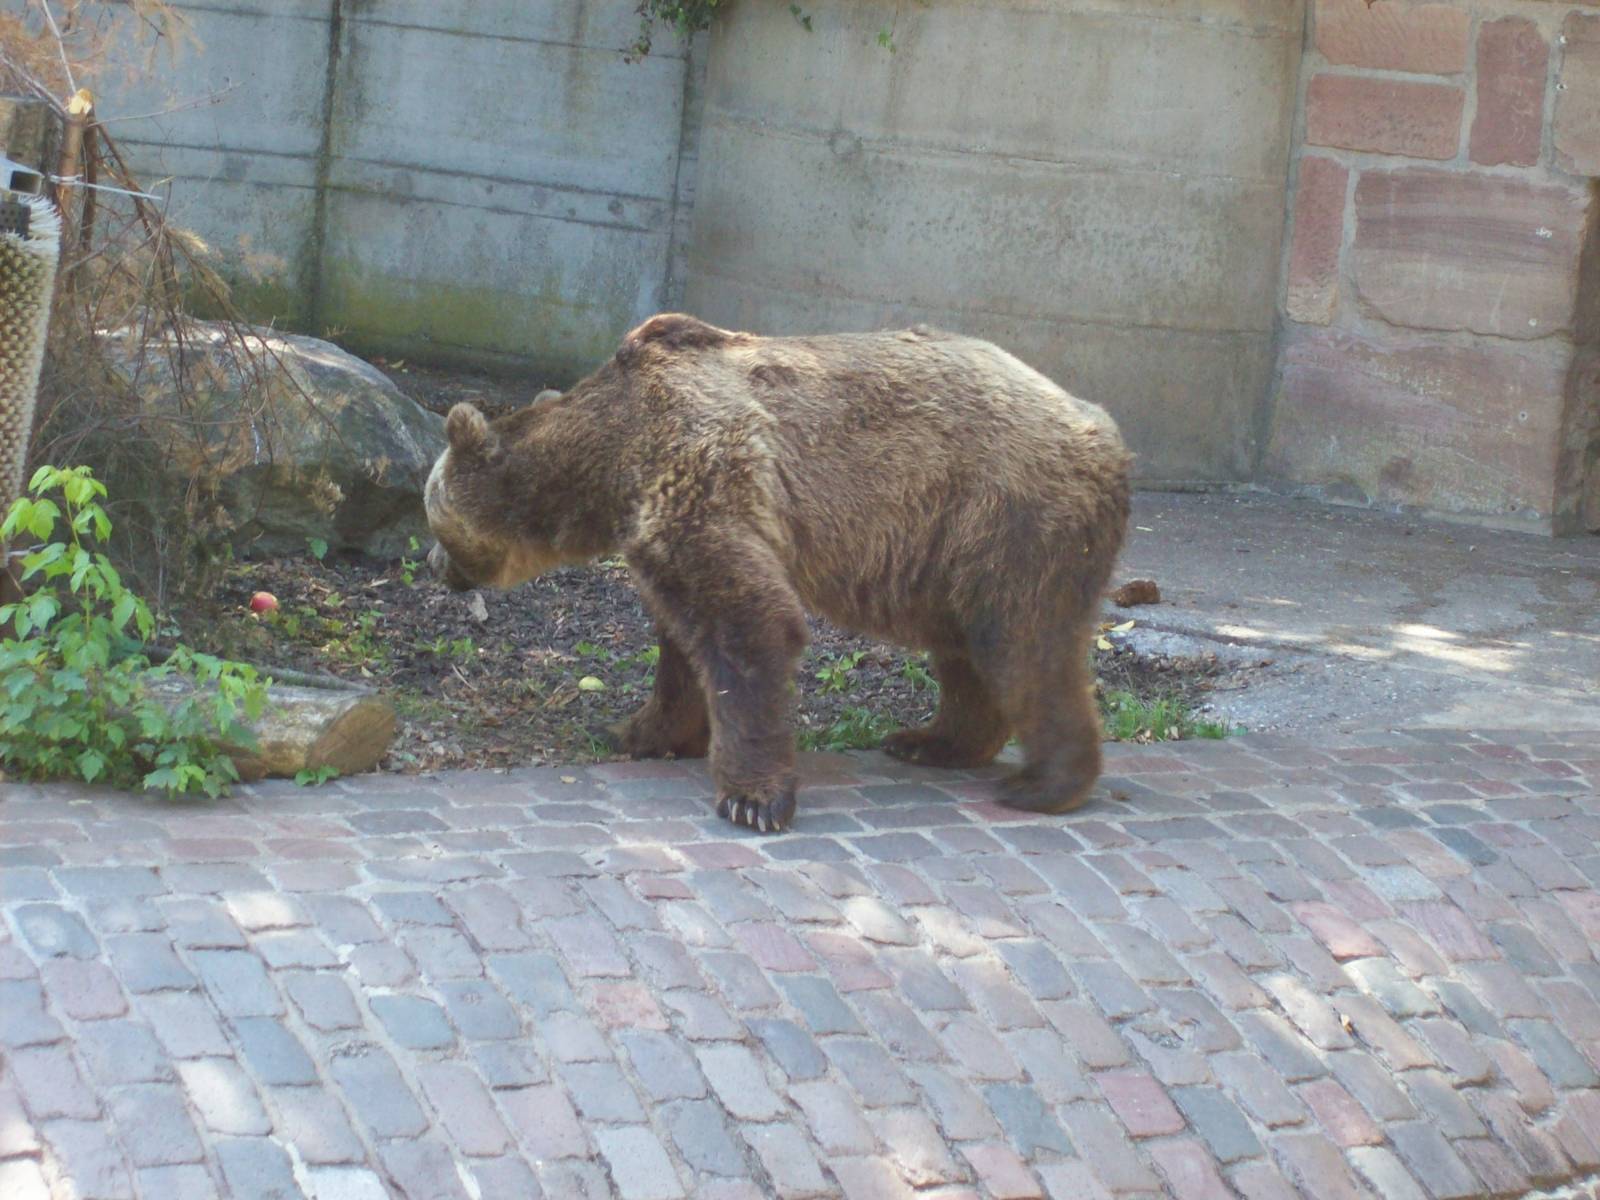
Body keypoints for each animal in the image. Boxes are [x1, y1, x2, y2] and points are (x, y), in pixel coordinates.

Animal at [425, 313, 1131, 833]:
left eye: (430, 514)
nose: (434, 566)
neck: (610, 461)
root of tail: (1103, 427)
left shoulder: (700, 471)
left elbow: (748, 625)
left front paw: (752, 798)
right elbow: (682, 647)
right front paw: (638, 730)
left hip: (1009, 514)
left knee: (1023, 642)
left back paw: (1043, 783)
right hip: (948, 550)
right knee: (965, 650)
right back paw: (932, 741)